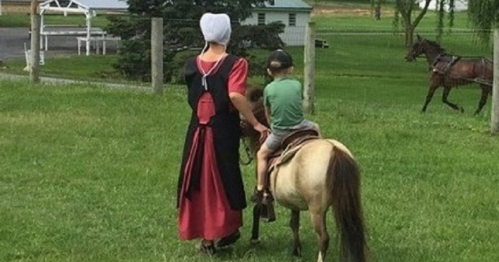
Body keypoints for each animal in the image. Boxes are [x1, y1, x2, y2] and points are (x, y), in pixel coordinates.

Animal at [240, 86, 370, 262]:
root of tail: (335, 151)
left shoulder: (263, 190)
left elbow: (257, 208)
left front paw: (254, 238)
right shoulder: (293, 199)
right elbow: (294, 223)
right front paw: (296, 251)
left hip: (316, 209)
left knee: (323, 238)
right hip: (346, 203)